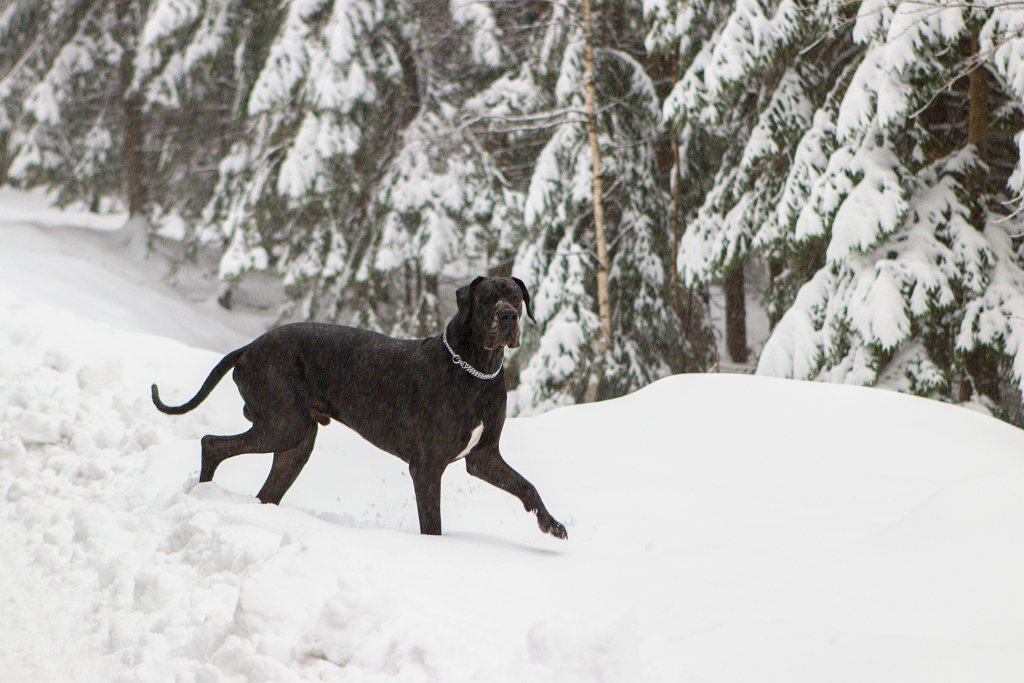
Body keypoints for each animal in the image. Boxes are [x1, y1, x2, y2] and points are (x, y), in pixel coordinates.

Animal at [149, 276, 569, 540]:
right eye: (486, 299)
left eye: (516, 298)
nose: (508, 315)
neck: (475, 371)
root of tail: (248, 346)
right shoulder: (427, 466)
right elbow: (432, 523)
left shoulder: (483, 456)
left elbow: (527, 486)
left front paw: (551, 524)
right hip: (283, 425)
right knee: (211, 442)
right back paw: (202, 492)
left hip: (296, 443)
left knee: (263, 485)